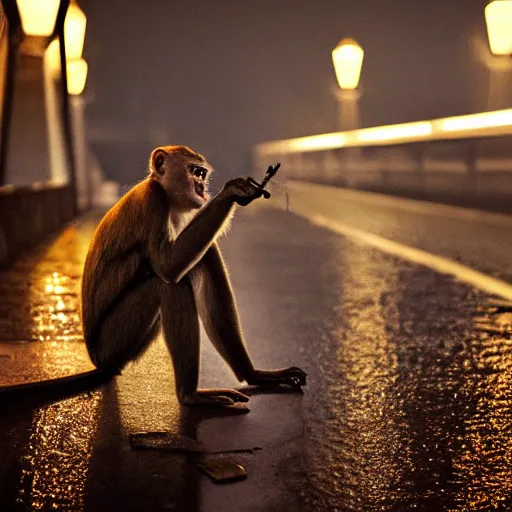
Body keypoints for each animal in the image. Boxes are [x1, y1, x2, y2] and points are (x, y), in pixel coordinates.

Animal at [79, 146, 304, 406]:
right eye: (195, 172)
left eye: (202, 174)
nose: (202, 186)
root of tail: (96, 358)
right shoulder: (153, 200)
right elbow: (168, 267)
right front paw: (231, 193)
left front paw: (255, 374)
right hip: (111, 345)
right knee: (167, 285)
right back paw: (189, 395)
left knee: (203, 257)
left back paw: (250, 375)